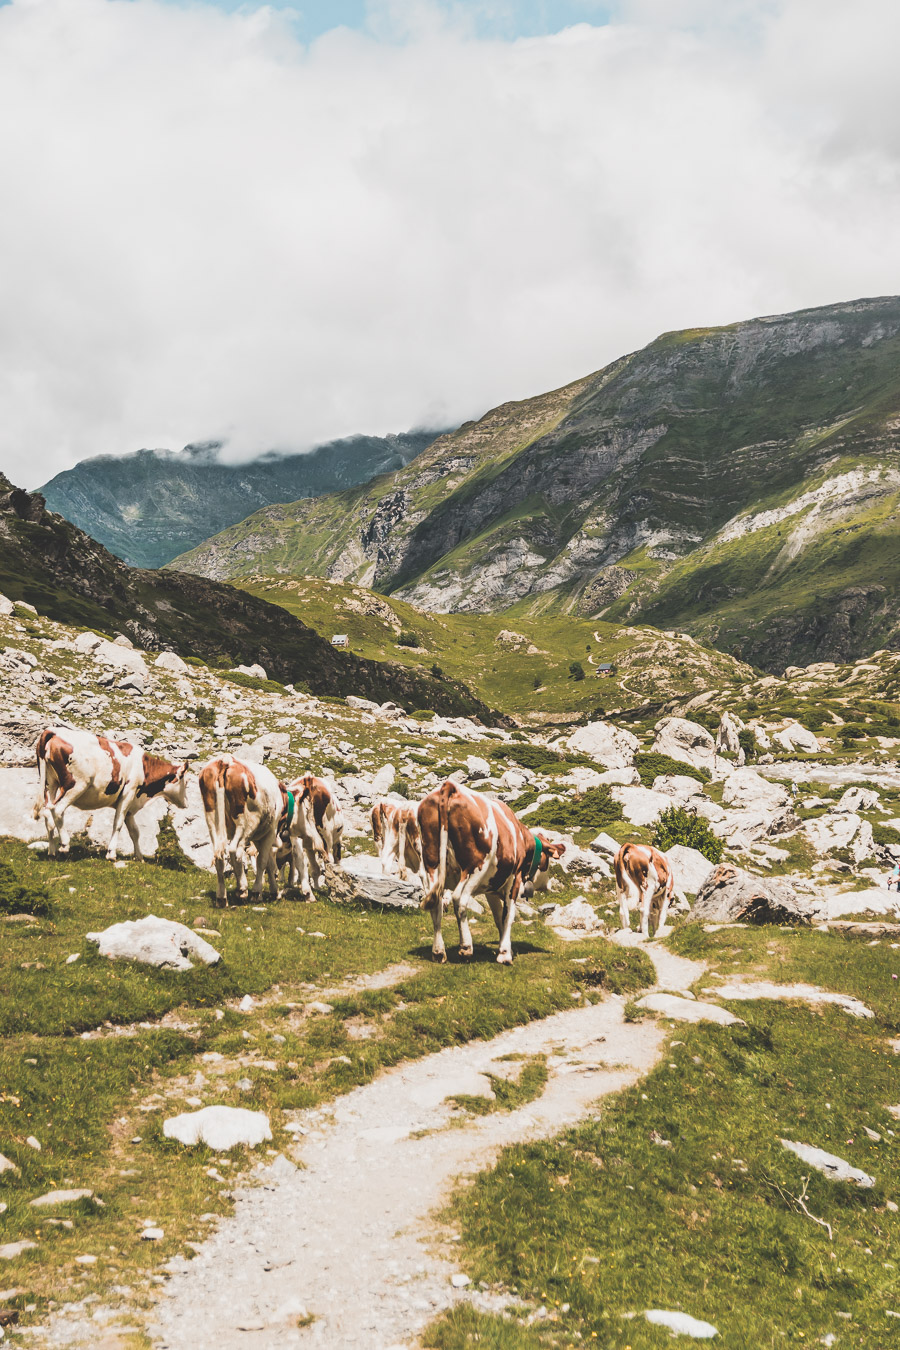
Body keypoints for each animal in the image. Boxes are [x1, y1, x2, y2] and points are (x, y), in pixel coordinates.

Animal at [34, 723, 188, 858]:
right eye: (186, 782)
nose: (186, 802)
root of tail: (55, 731)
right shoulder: (128, 793)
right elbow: (118, 824)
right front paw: (111, 853)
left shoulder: (131, 806)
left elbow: (135, 832)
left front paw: (139, 857)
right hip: (76, 785)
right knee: (57, 810)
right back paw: (65, 845)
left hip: (51, 784)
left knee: (47, 812)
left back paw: (52, 851)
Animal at [418, 783, 555, 961]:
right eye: (547, 862)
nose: (546, 885)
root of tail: (451, 786)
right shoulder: (514, 881)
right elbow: (508, 916)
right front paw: (505, 954)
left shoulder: (491, 889)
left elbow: (498, 917)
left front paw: (503, 948)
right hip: (475, 868)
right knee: (459, 899)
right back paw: (466, 946)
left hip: (431, 867)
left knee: (436, 906)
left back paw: (438, 952)